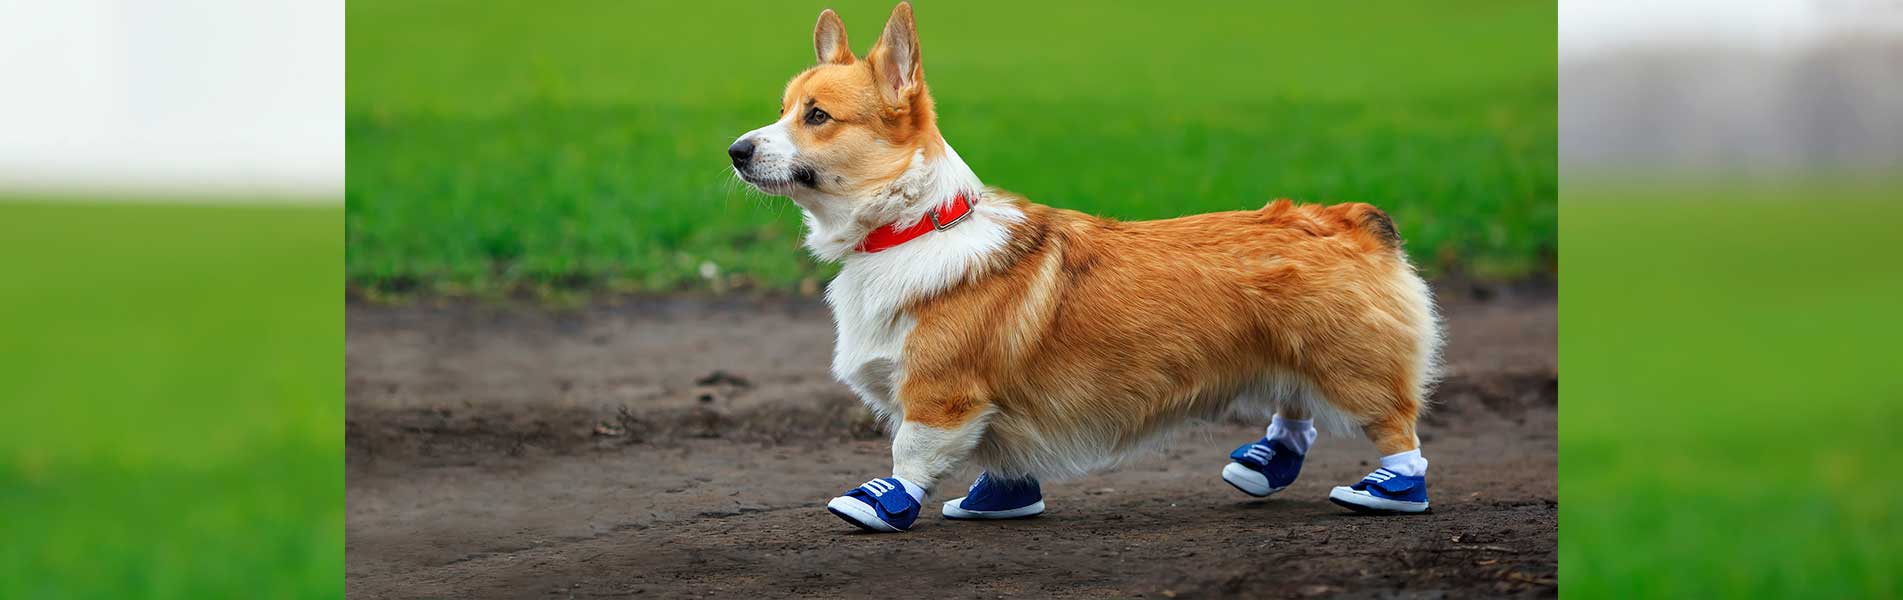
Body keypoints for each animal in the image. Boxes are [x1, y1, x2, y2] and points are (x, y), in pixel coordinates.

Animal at [726, 2, 1438, 533]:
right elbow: (1004, 455)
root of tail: (1347, 218)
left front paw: (882, 503)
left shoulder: (939, 395)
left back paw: (1388, 491)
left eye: (817, 116)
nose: (735, 151)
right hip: (1286, 351)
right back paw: (1265, 464)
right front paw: (998, 500)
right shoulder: (994, 409)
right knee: (1296, 410)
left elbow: (909, 453)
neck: (912, 229)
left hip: (1345, 364)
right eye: (783, 110)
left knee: (1397, 428)